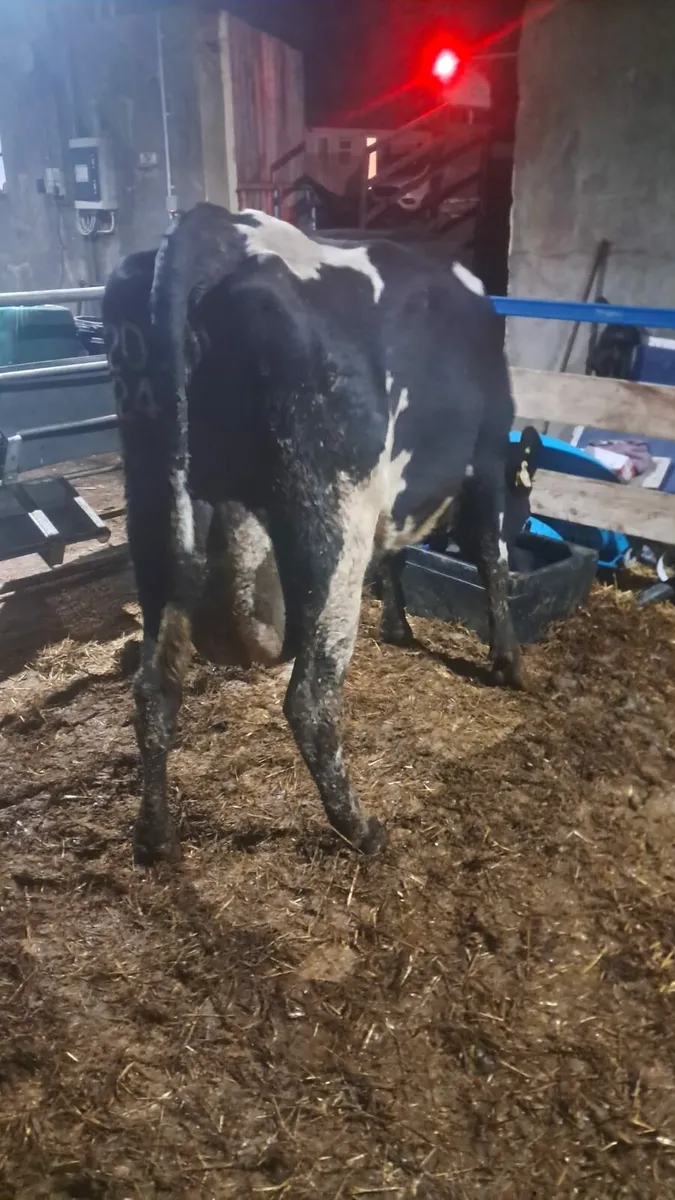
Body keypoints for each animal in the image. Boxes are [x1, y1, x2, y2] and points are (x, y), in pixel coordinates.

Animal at [102, 202, 523, 867]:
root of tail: (222, 229)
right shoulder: (484, 460)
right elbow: (492, 557)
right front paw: (508, 662)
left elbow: (397, 559)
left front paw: (398, 626)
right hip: (334, 521)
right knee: (310, 700)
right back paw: (361, 827)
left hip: (154, 516)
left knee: (154, 691)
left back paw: (155, 835)